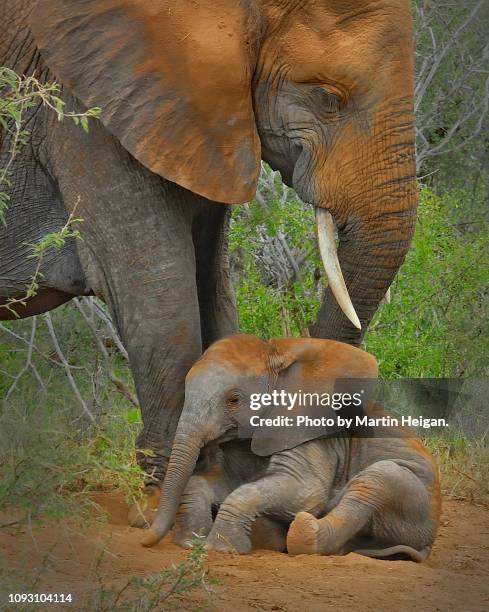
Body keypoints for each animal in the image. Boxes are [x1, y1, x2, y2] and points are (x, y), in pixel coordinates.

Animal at [140, 334, 438, 560]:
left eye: (234, 400)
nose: (144, 541)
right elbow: (216, 482)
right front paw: (191, 543)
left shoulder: (310, 436)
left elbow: (305, 490)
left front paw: (221, 549)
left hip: (414, 502)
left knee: (375, 480)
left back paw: (303, 530)